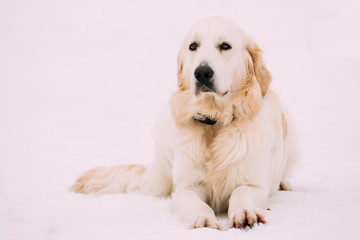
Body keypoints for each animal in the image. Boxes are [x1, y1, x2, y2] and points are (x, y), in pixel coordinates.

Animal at [69, 15, 296, 230]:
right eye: (193, 46)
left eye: (225, 46)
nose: (202, 72)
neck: (214, 122)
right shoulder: (186, 188)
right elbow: (196, 203)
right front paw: (203, 220)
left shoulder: (253, 184)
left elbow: (241, 193)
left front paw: (245, 213)